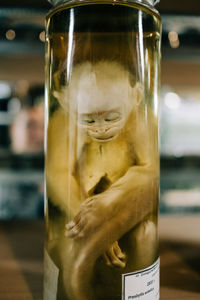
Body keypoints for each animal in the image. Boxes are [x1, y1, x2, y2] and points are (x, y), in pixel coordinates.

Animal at [44, 0, 161, 300]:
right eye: (89, 121)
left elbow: (150, 170)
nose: (100, 131)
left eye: (111, 118)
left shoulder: (142, 121)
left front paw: (98, 214)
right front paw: (99, 233)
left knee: (145, 230)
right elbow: (57, 172)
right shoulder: (62, 123)